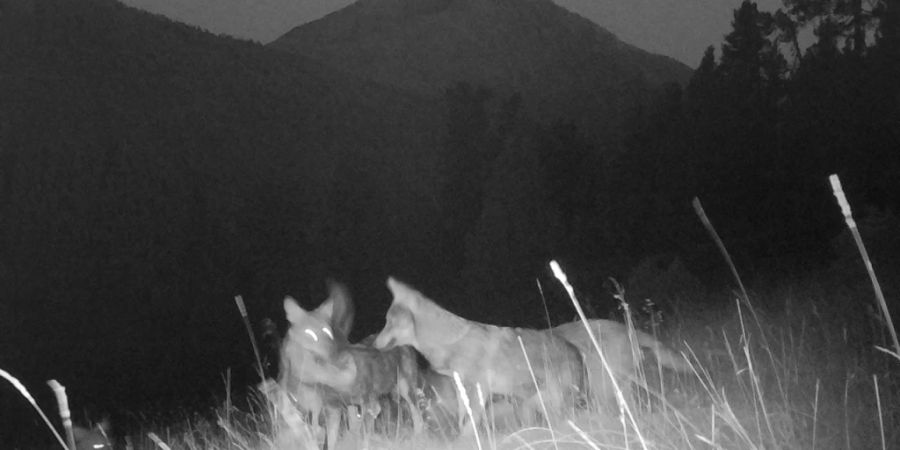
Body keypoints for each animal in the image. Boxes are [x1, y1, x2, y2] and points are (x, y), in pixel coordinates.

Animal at [370, 276, 584, 434]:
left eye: (388, 322)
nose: (373, 344)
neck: (450, 342)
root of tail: (574, 349)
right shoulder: (462, 390)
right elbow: (462, 422)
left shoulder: (477, 390)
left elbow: (468, 426)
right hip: (529, 405)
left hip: (552, 402)